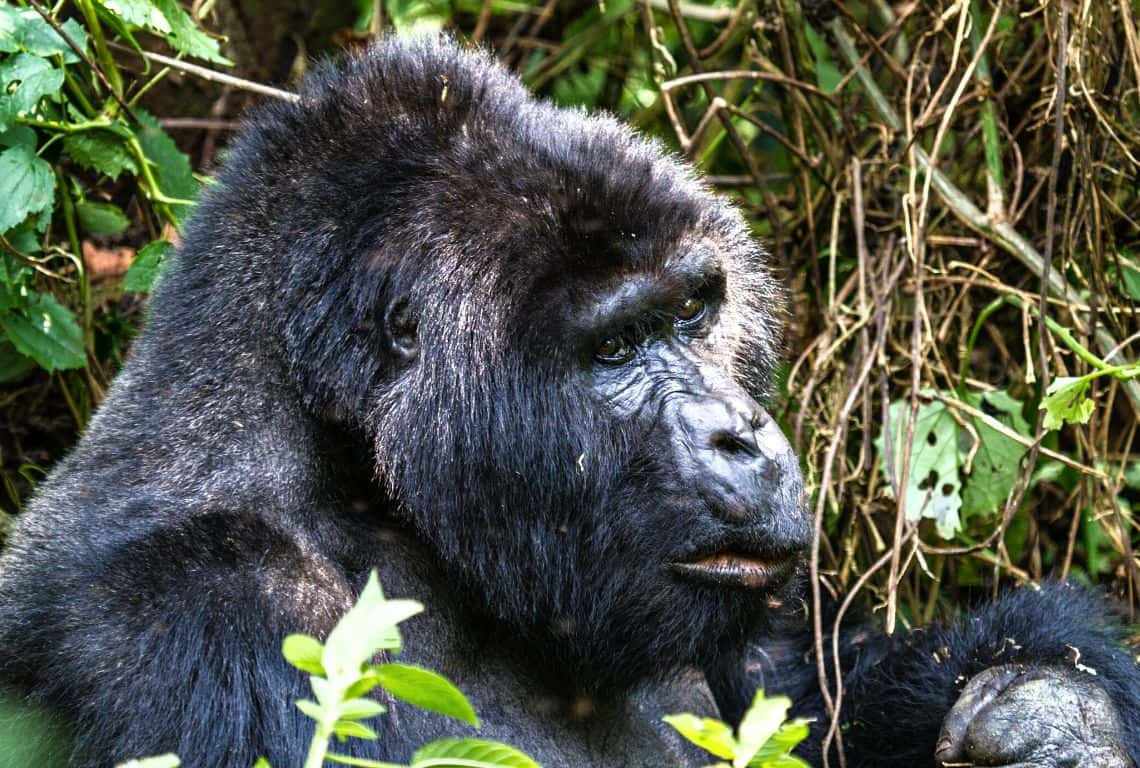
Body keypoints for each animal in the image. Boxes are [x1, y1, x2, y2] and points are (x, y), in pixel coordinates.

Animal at [2, 37, 1140, 765]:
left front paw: (1052, 710)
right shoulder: (207, 601)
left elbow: (823, 694)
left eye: (693, 309)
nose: (742, 438)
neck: (366, 491)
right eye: (616, 347)